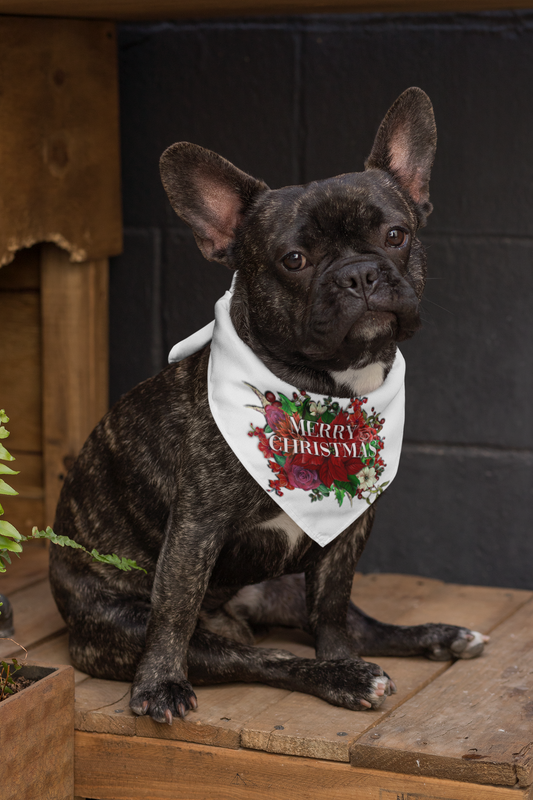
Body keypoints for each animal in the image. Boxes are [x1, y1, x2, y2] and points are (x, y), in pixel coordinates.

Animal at [50, 87, 486, 724]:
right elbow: (174, 612)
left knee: (353, 624)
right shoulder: (196, 527)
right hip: (128, 623)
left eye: (396, 235)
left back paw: (434, 638)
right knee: (251, 657)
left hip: (289, 581)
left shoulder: (348, 530)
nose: (360, 274)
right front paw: (158, 684)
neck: (324, 388)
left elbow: (332, 606)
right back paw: (337, 676)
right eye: (294, 260)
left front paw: (341, 654)